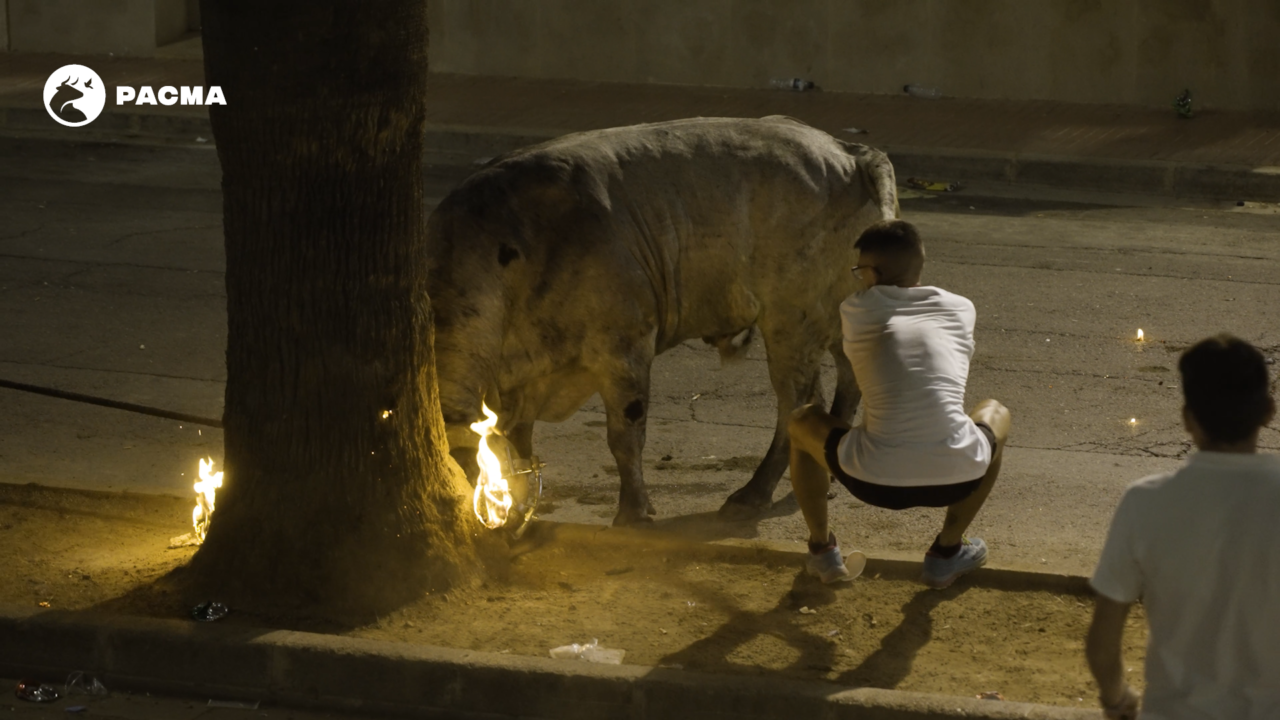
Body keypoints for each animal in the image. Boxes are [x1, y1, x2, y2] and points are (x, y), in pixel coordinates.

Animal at [424, 114, 896, 525]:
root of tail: (850, 152)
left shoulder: (624, 347)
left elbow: (624, 435)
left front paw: (633, 512)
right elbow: (520, 437)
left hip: (791, 321)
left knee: (795, 401)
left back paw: (752, 494)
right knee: (847, 377)